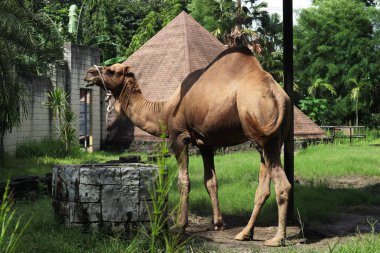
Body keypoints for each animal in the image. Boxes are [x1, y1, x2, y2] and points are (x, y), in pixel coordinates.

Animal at [85, 46, 290, 246]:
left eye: (111, 70)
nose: (89, 73)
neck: (165, 110)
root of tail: (280, 96)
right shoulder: (205, 143)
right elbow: (211, 182)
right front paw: (218, 223)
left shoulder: (179, 137)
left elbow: (184, 180)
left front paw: (179, 226)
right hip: (272, 138)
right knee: (263, 188)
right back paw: (245, 233)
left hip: (260, 127)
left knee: (283, 184)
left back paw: (277, 238)